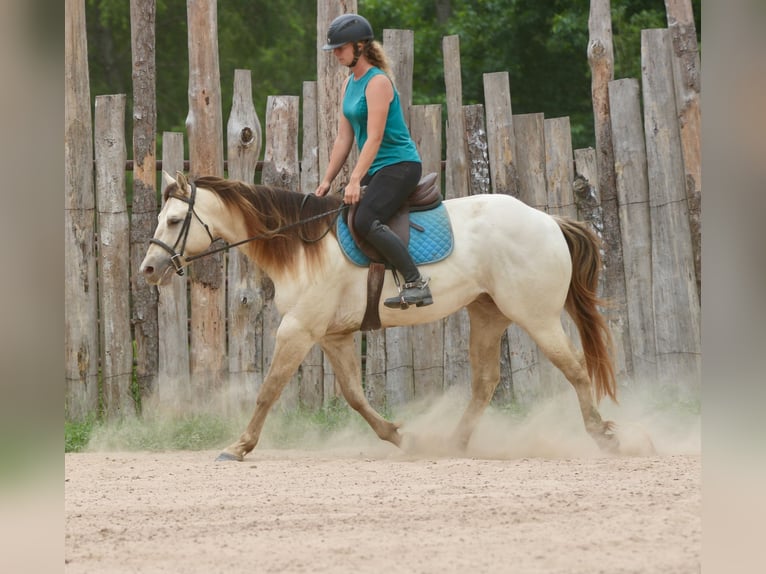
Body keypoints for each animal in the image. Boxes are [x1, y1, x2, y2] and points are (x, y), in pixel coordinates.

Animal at [140, 171, 620, 461]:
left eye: (176, 220)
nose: (148, 269)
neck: (302, 246)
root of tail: (548, 221)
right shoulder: (331, 336)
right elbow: (354, 395)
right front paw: (399, 436)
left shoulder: (298, 330)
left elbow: (268, 391)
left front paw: (239, 446)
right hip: (489, 315)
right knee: (485, 383)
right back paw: (453, 444)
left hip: (536, 317)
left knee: (576, 370)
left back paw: (603, 434)